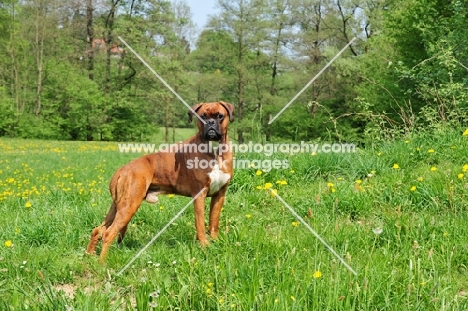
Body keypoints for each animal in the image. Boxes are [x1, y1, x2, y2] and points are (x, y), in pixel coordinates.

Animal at [85, 102, 234, 264]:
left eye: (219, 116)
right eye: (203, 116)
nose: (210, 123)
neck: (215, 150)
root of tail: (122, 169)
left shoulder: (219, 195)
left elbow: (214, 222)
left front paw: (215, 242)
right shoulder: (199, 196)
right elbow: (200, 224)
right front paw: (205, 246)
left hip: (118, 206)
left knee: (98, 230)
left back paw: (89, 255)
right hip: (129, 205)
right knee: (108, 233)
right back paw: (102, 263)